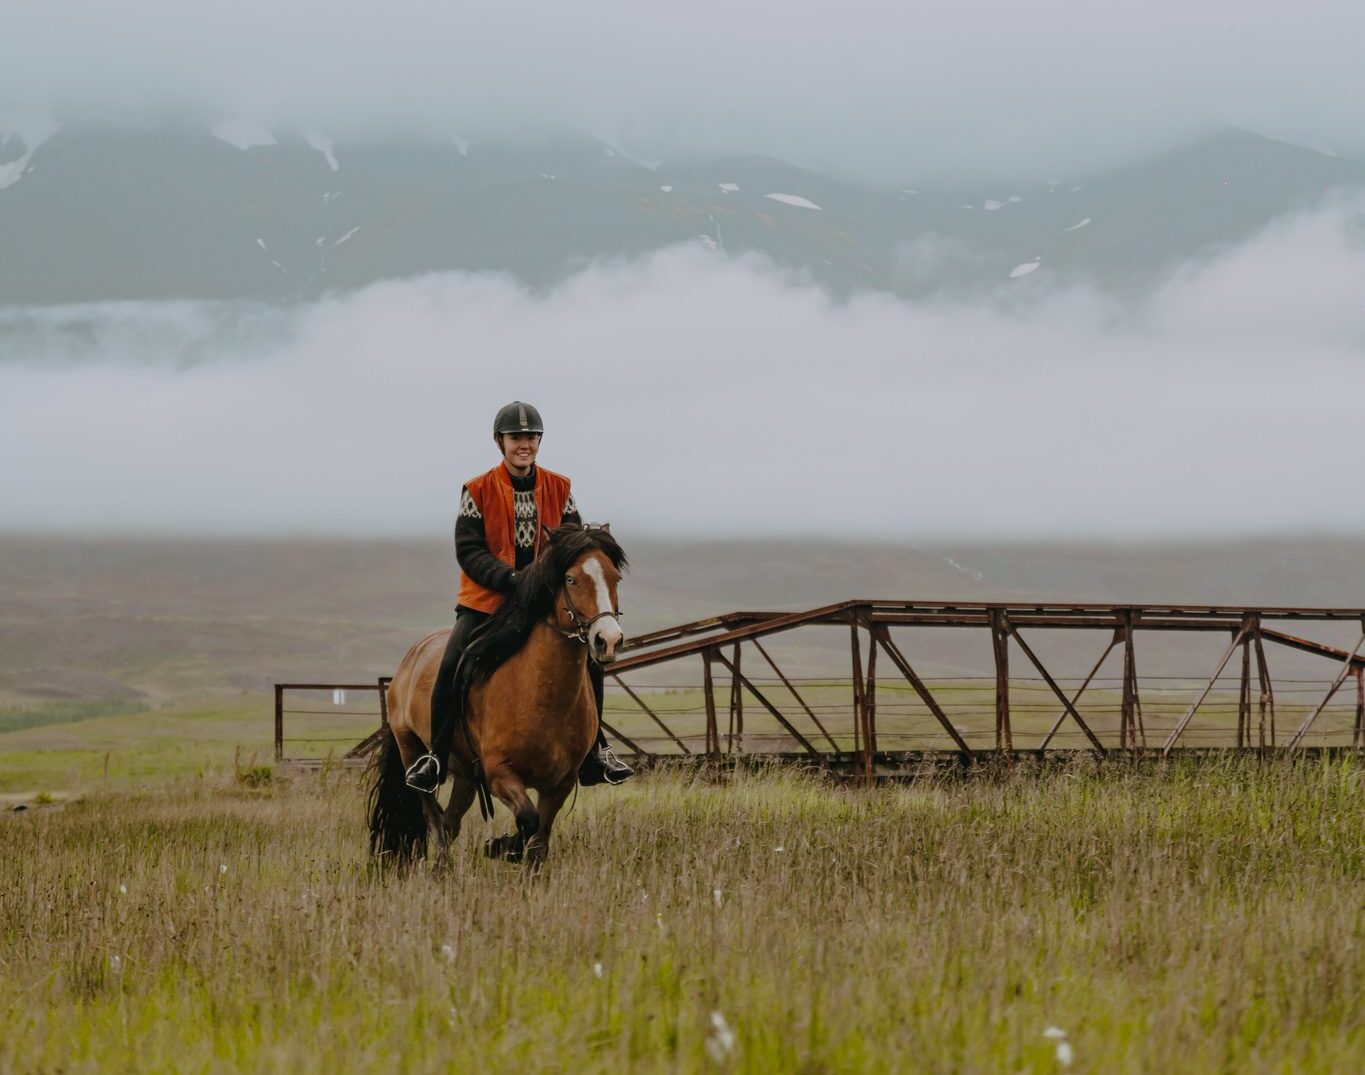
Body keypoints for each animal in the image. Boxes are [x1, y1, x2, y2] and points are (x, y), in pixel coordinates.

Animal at [374, 523, 627, 867]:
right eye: (571, 579)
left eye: (615, 578)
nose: (608, 640)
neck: (543, 695)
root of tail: (409, 658)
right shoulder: (499, 773)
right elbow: (528, 819)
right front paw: (500, 846)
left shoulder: (560, 783)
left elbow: (538, 840)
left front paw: (512, 853)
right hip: (411, 751)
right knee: (434, 820)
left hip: (466, 775)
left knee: (450, 823)